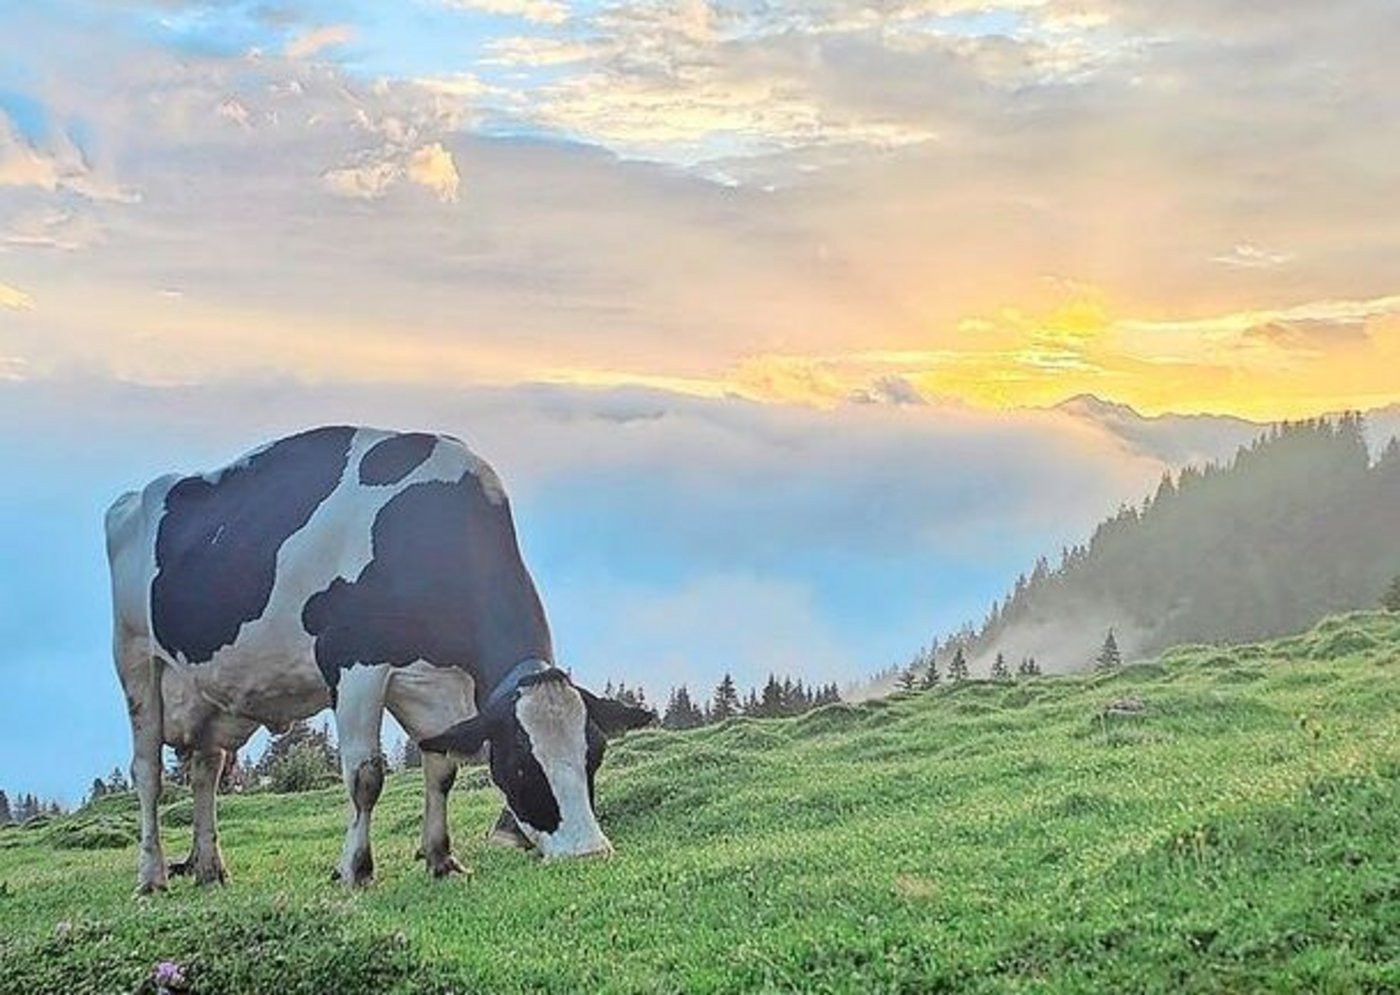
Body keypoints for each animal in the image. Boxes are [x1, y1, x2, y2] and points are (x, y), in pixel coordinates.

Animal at [105, 426, 652, 894]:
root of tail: (136, 496)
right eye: (520, 761)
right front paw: (355, 869)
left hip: (213, 694)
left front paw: (441, 858)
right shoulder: (355, 663)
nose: (588, 852)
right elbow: (365, 775)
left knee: (206, 770)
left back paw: (210, 869)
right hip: (135, 657)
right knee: (148, 772)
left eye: (594, 754)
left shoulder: (436, 684)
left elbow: (442, 768)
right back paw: (151, 876)